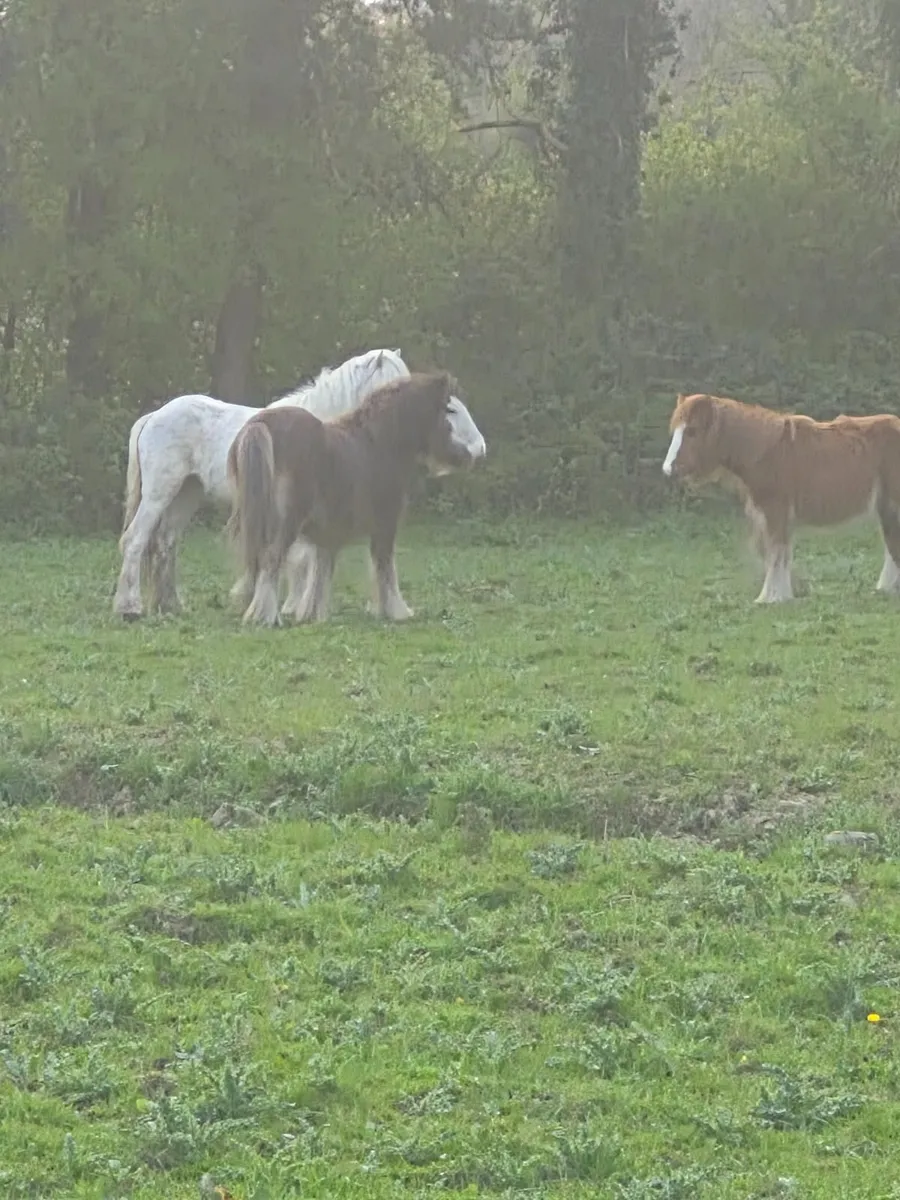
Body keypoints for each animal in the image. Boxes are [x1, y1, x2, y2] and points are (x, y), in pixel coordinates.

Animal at [113, 348, 410, 621]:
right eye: (392, 385)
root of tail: (154, 416)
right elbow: (300, 559)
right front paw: (293, 607)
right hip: (159, 494)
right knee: (135, 540)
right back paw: (129, 608)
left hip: (186, 494)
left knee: (165, 543)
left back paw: (169, 606)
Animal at [226, 371, 487, 627]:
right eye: (451, 410)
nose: (480, 449)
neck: (378, 442)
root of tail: (261, 425)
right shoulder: (385, 524)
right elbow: (384, 567)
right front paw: (396, 611)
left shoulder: (327, 533)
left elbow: (320, 571)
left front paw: (312, 614)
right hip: (286, 523)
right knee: (271, 560)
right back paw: (265, 616)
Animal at [662, 391, 900, 603]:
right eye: (675, 430)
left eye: (692, 431)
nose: (668, 469)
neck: (765, 452)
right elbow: (781, 554)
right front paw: (781, 595)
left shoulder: (775, 512)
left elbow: (775, 553)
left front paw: (771, 597)